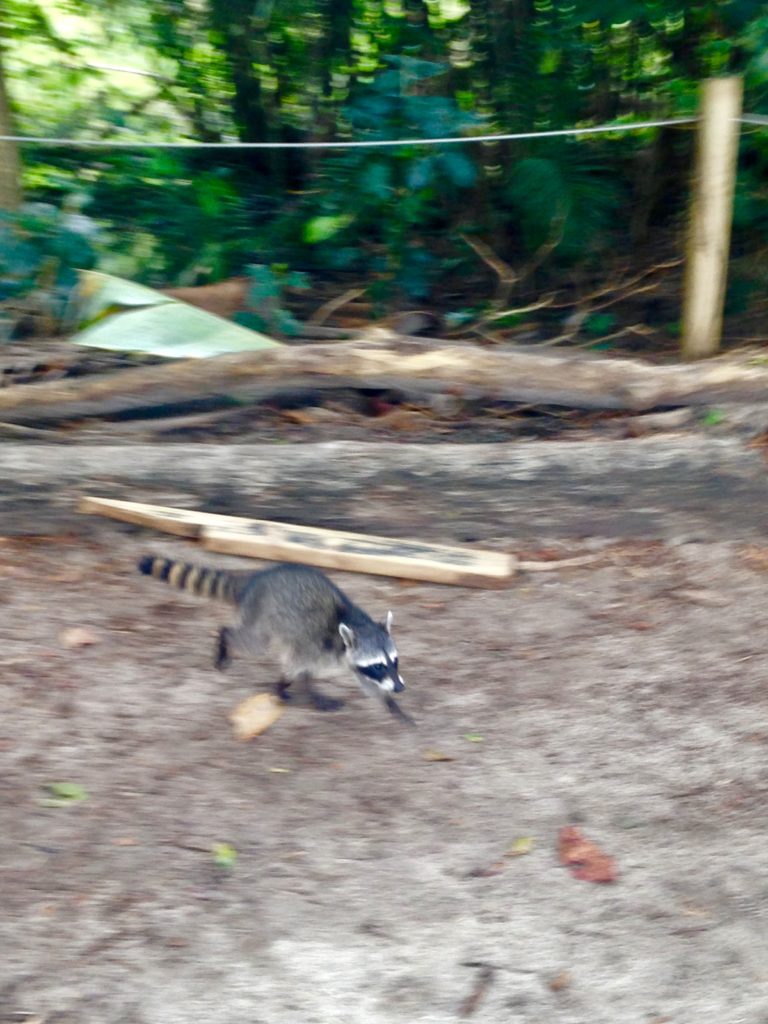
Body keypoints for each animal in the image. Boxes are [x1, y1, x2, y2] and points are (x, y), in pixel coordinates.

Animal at [140, 557, 411, 724]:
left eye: (394, 661)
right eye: (378, 665)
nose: (400, 688)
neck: (356, 626)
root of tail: (252, 582)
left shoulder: (353, 662)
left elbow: (368, 686)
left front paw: (391, 704)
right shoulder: (312, 645)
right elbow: (298, 669)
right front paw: (295, 688)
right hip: (260, 616)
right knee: (249, 641)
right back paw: (225, 639)